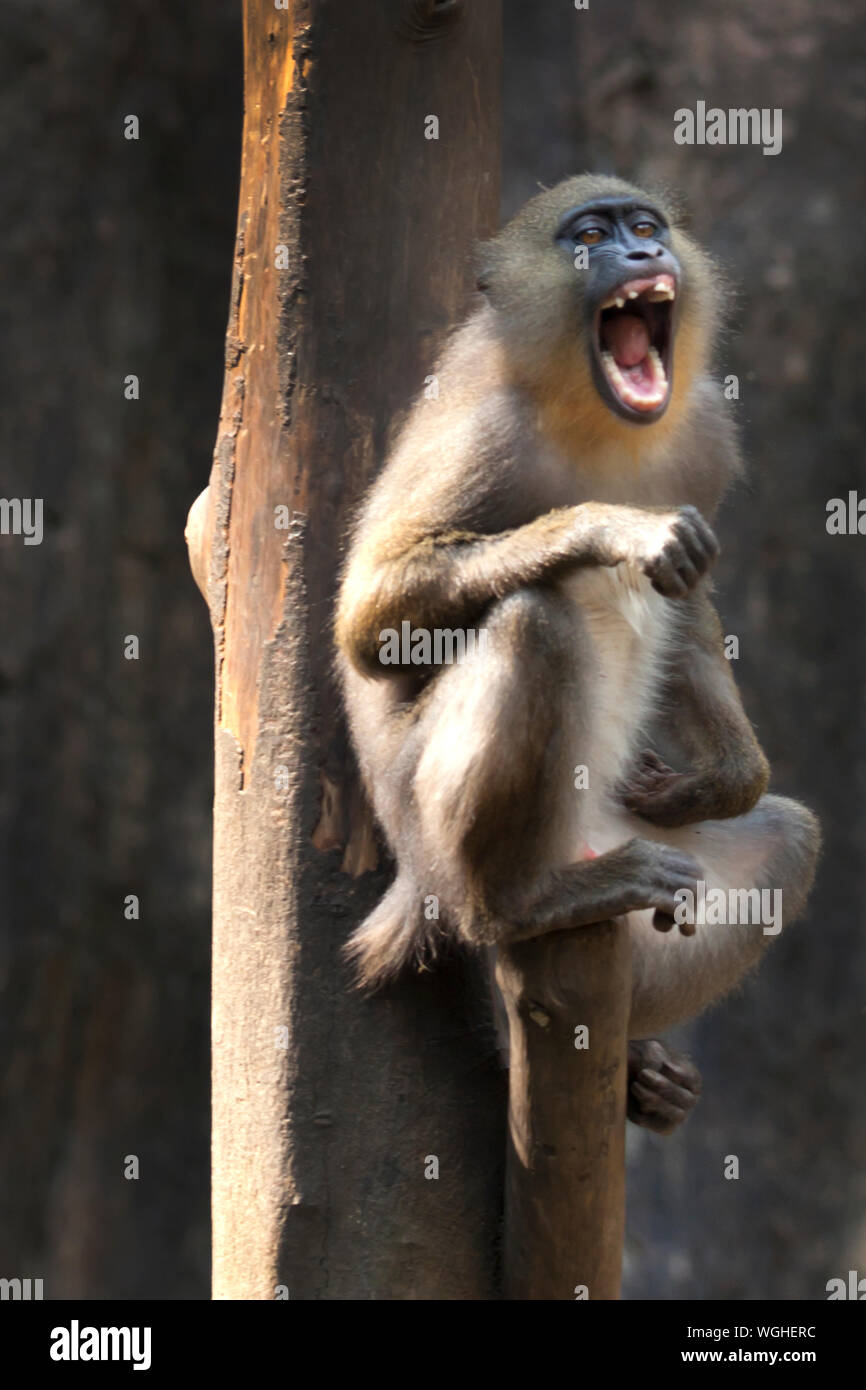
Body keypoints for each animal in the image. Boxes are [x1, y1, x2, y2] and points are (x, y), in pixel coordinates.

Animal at [334, 174, 820, 1134]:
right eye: (589, 236)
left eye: (645, 225)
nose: (641, 254)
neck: (599, 421)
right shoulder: (483, 434)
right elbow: (371, 620)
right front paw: (606, 528)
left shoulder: (703, 433)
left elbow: (689, 600)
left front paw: (717, 780)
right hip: (435, 829)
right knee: (536, 620)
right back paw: (520, 907)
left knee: (787, 839)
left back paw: (633, 1067)